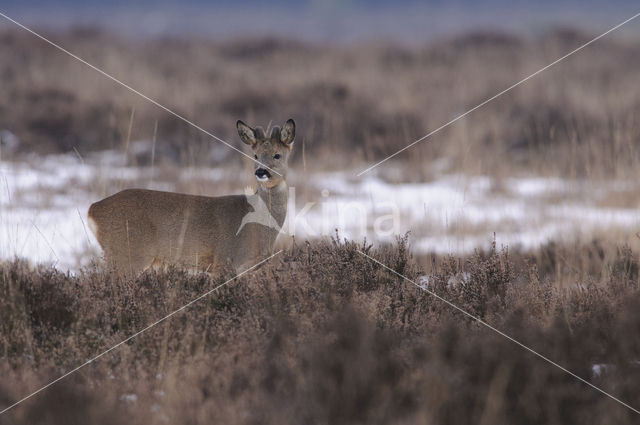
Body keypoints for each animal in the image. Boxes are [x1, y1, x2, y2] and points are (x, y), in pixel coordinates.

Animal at [87, 117, 296, 274]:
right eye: (255, 156)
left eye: (277, 155)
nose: (261, 172)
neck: (257, 228)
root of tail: (93, 210)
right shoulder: (224, 260)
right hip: (128, 253)